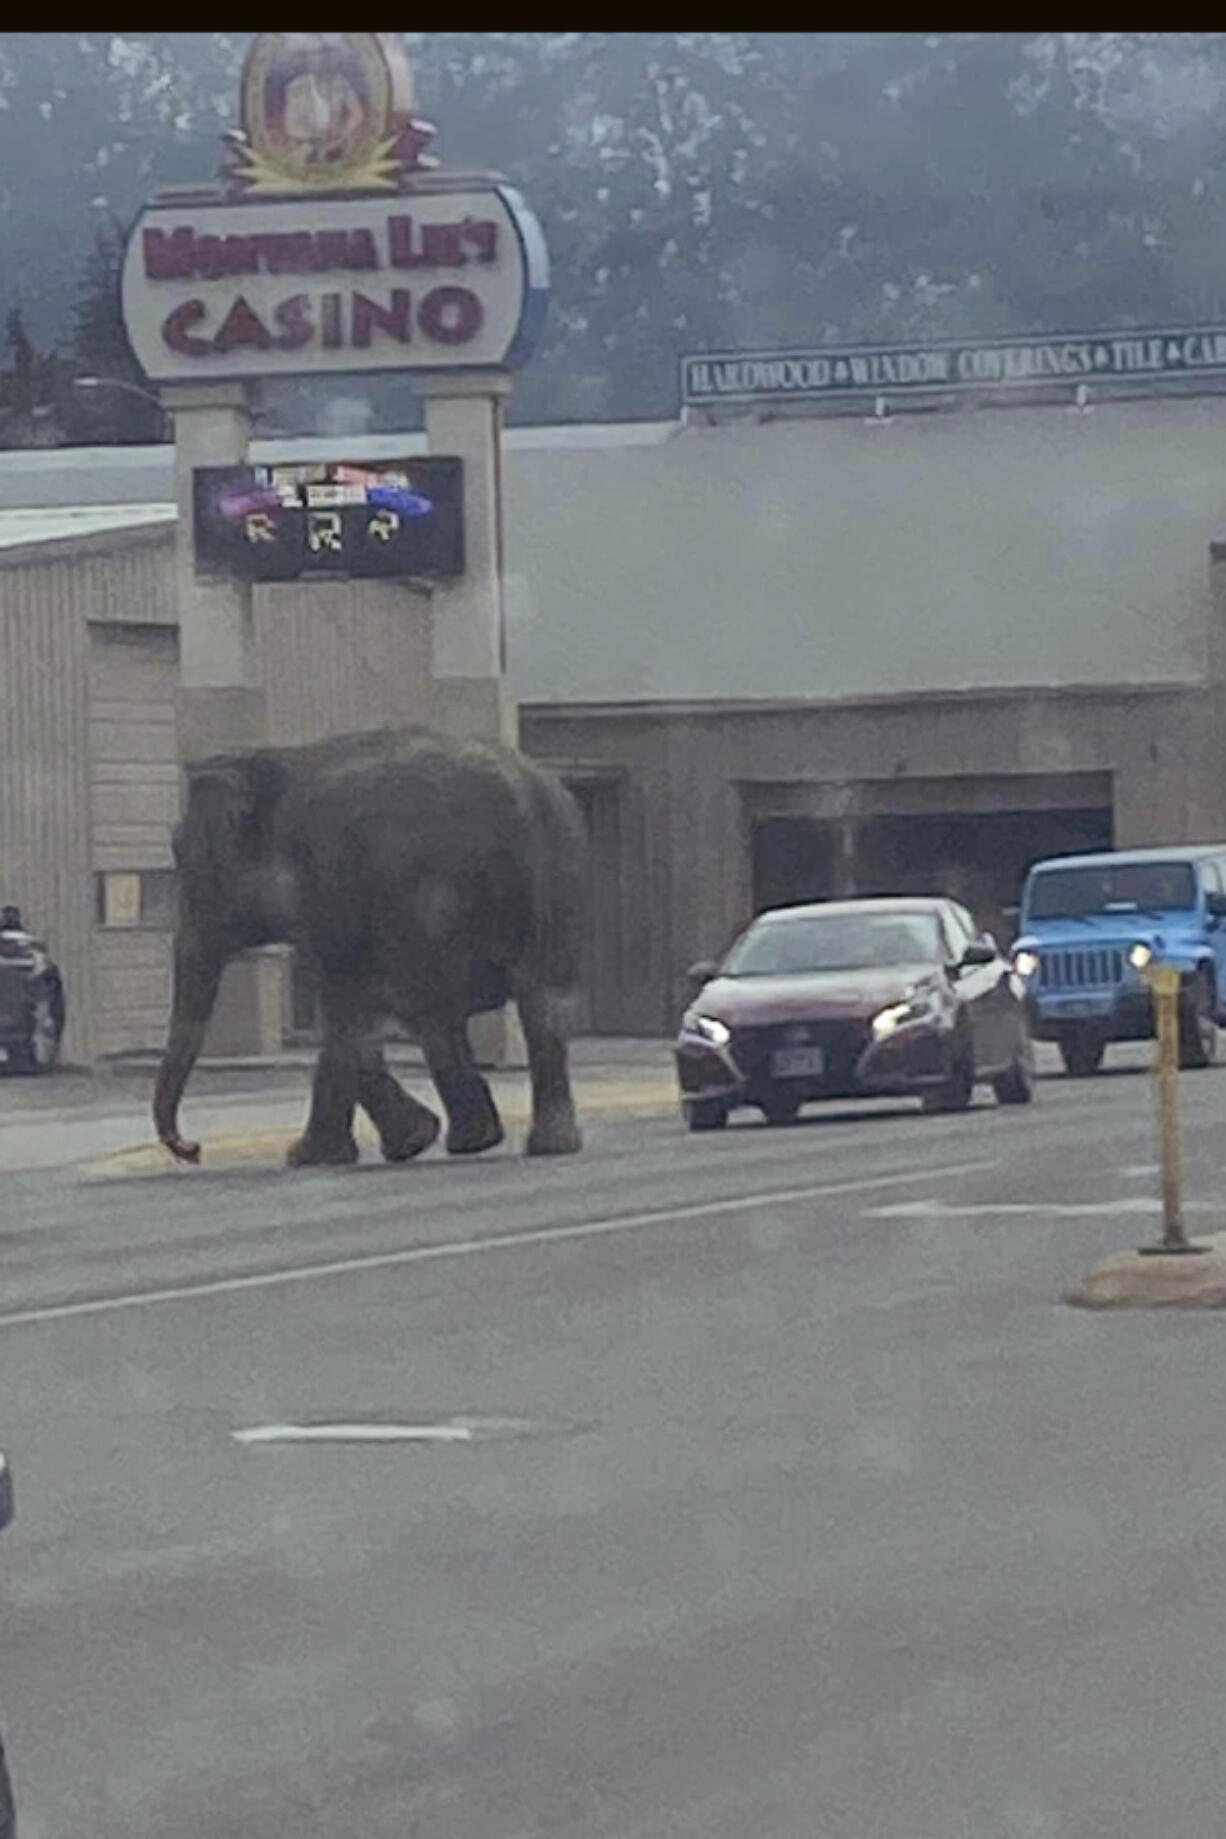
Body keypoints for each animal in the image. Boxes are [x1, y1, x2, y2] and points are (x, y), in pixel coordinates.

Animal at [152, 728, 584, 1169]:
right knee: (534, 1006)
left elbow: (344, 1014)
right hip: (551, 885)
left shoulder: (331, 889)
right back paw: (512, 1143)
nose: (192, 1149)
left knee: (465, 1009)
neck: (278, 764)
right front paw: (416, 1138)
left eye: (185, 860)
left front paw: (308, 1156)